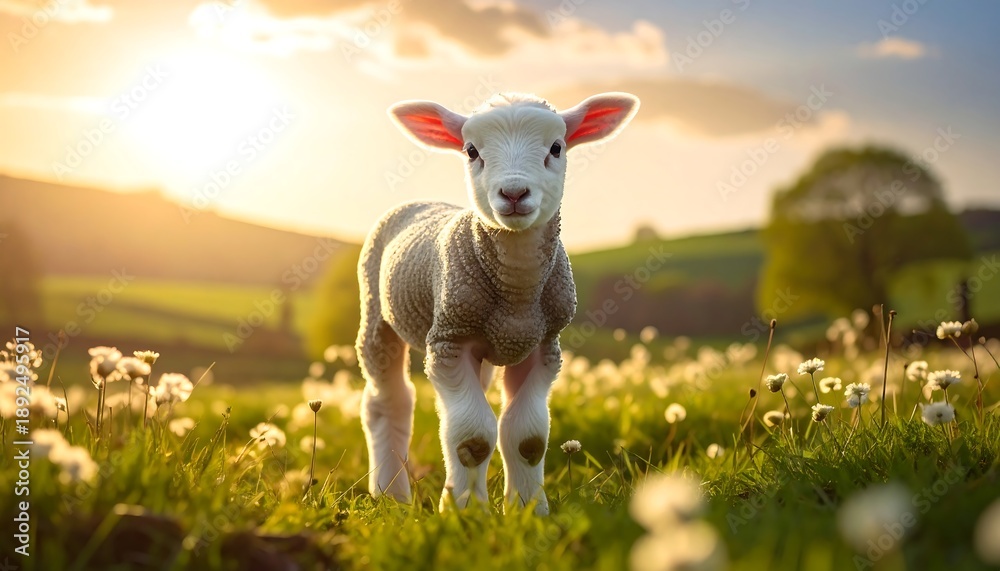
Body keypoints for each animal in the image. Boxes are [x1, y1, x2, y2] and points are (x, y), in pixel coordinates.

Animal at [357, 91, 639, 514]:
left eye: (557, 148)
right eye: (471, 151)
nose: (514, 194)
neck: (516, 297)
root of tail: (423, 201)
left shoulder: (544, 346)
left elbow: (527, 438)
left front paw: (527, 512)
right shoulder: (448, 341)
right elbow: (472, 437)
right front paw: (465, 513)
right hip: (376, 314)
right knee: (388, 401)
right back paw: (391, 495)